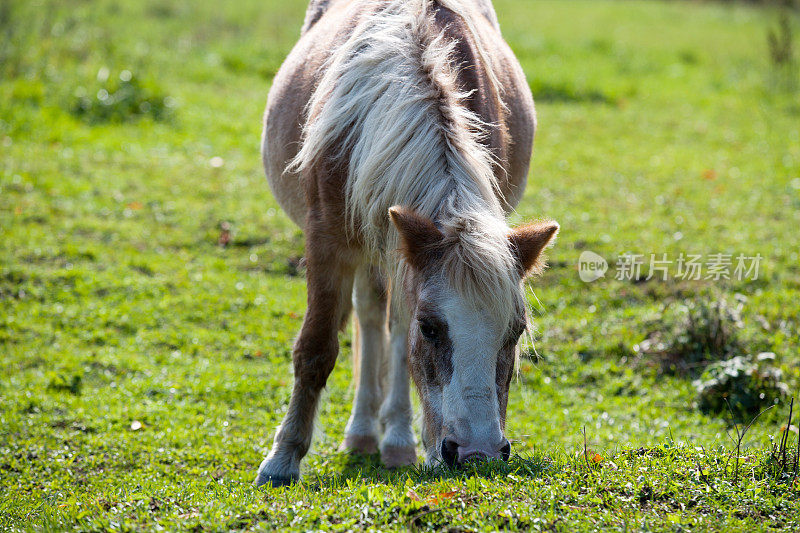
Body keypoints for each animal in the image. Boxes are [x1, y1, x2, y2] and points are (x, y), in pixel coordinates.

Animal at [255, 0, 556, 486]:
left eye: (515, 331)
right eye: (431, 328)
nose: (477, 453)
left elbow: (399, 339)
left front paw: (408, 443)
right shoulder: (327, 239)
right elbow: (317, 346)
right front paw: (283, 460)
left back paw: (395, 439)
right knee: (370, 314)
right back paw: (362, 432)